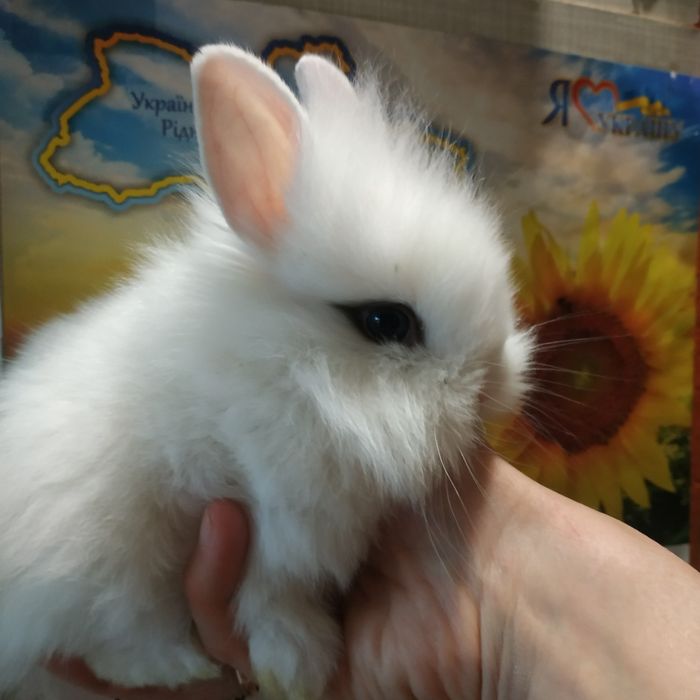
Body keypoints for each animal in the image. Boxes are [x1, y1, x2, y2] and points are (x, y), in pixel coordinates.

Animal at [0, 44, 532, 700]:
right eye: (386, 321)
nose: (492, 388)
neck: (288, 366)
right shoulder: (270, 516)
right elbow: (266, 599)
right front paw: (298, 665)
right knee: (117, 631)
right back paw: (182, 665)